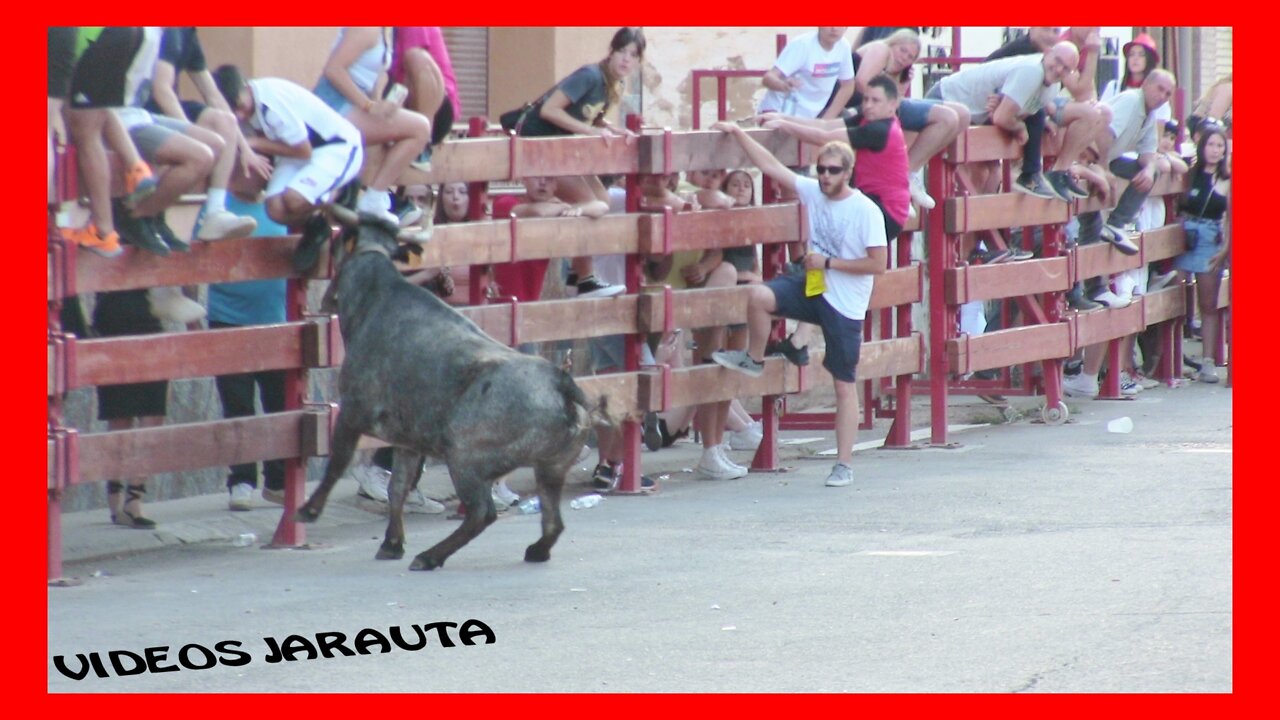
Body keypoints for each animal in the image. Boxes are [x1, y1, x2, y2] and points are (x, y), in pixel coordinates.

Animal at [294, 219, 604, 566]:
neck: (374, 298)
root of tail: (562, 382)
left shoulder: (352, 410)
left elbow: (338, 461)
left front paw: (309, 510)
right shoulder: (407, 440)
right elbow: (397, 487)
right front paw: (391, 543)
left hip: (465, 457)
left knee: (482, 512)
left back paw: (429, 556)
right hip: (550, 468)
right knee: (552, 520)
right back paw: (535, 550)